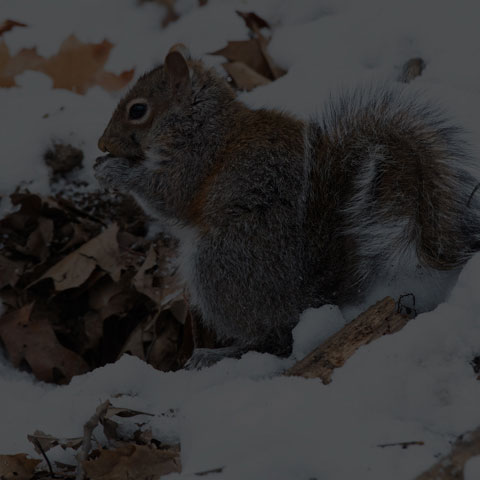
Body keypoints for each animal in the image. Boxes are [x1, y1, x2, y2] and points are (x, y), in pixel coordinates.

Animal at [94, 46, 480, 368]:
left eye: (138, 110)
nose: (101, 144)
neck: (202, 119)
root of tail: (306, 298)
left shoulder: (196, 160)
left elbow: (167, 196)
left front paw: (113, 171)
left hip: (220, 263)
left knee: (271, 339)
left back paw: (217, 353)